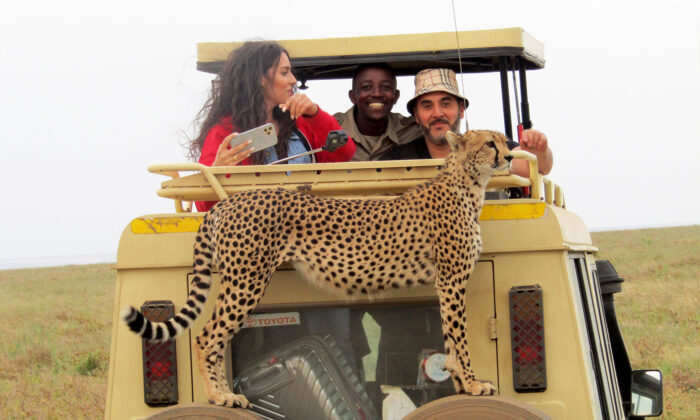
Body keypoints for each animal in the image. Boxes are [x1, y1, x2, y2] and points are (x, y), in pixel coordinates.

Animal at [121, 130, 516, 408]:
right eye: (490, 143)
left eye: (503, 140)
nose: (511, 154)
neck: (467, 184)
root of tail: (230, 200)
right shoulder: (451, 282)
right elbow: (460, 339)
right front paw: (474, 384)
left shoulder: (447, 284)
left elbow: (451, 341)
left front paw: (462, 385)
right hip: (246, 282)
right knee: (207, 336)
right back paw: (220, 397)